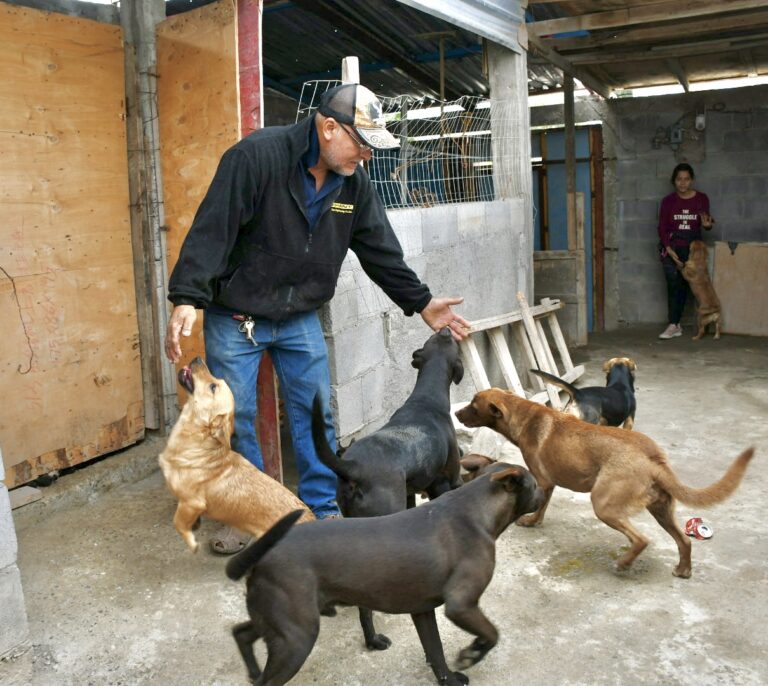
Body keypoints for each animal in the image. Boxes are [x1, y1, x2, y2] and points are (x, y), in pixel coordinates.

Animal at [225, 462, 544, 686]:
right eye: (534, 483)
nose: (544, 491)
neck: (476, 510)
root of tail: (262, 557)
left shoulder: (423, 610)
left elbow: (436, 652)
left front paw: (449, 679)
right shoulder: (461, 605)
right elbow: (492, 633)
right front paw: (472, 654)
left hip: (278, 621)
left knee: (241, 633)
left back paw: (252, 670)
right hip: (296, 638)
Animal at [308, 326, 464, 652]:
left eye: (434, 339)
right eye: (453, 344)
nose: (445, 329)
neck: (426, 399)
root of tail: (353, 466)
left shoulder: (409, 492)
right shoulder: (447, 483)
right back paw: (374, 638)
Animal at [452, 390, 752, 576]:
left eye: (473, 406)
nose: (455, 415)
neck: (526, 416)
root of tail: (654, 460)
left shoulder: (544, 480)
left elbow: (540, 506)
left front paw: (530, 521)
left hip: (604, 504)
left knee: (641, 539)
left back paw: (623, 564)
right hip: (661, 509)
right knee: (684, 541)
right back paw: (683, 570)